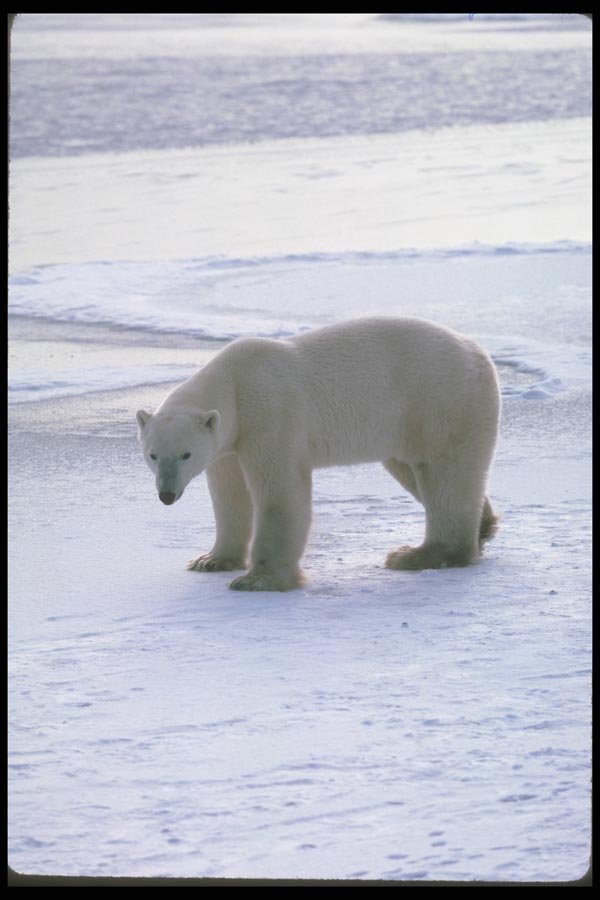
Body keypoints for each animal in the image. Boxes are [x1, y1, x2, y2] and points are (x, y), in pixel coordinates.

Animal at [136, 316, 500, 592]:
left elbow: (279, 490)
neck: (233, 381)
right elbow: (229, 494)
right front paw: (211, 560)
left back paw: (418, 554)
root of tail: (479, 353)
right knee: (413, 470)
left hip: (439, 401)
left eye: (185, 455)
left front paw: (258, 579)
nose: (166, 495)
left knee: (444, 475)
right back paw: (483, 526)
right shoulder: (229, 444)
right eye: (153, 455)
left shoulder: (270, 413)